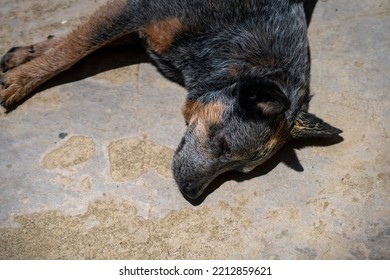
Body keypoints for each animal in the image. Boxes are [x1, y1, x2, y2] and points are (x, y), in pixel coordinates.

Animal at [0, 1, 342, 200]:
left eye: (238, 171)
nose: (191, 194)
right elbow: (74, 48)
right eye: (222, 145)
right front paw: (21, 78)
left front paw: (25, 58)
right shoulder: (136, 11)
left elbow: (79, 41)